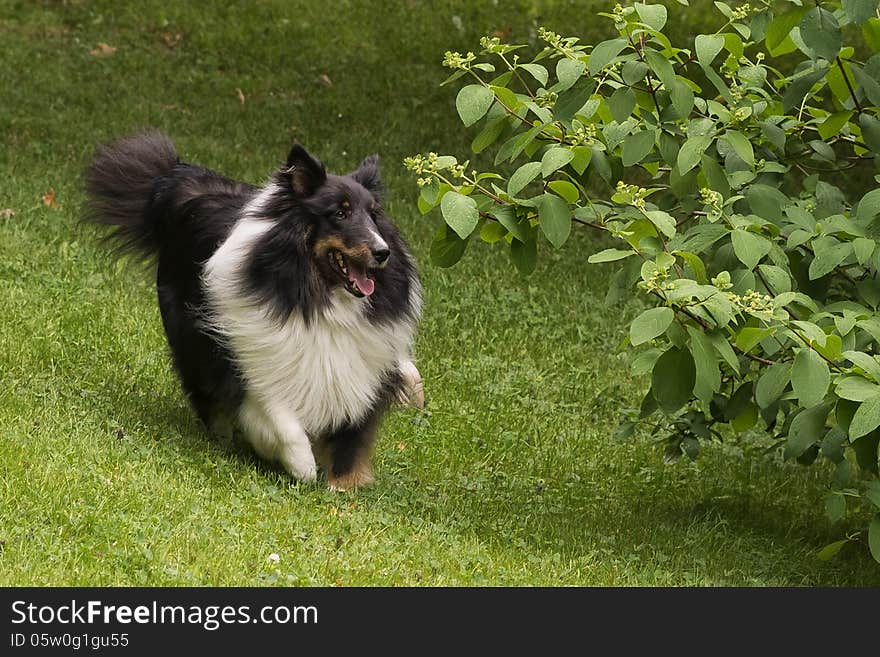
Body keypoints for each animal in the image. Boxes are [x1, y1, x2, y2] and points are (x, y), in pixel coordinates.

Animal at [83, 131, 422, 486]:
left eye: (373, 215)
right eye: (339, 214)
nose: (383, 252)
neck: (316, 298)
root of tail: (179, 182)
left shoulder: (360, 371)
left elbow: (350, 438)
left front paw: (340, 486)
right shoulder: (253, 359)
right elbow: (281, 420)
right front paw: (302, 467)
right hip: (193, 342)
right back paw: (221, 436)